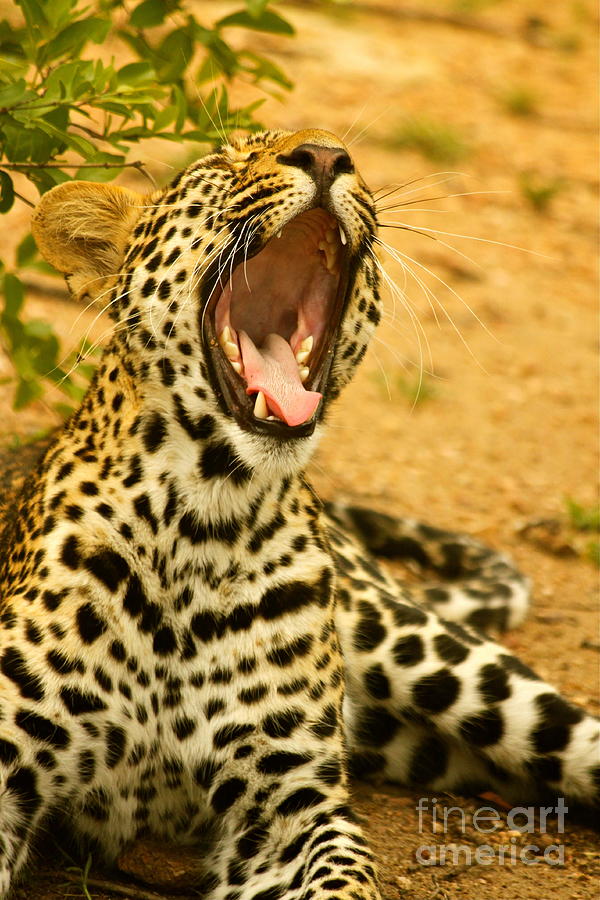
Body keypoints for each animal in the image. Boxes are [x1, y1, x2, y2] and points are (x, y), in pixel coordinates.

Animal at [0, 128, 596, 900]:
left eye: (346, 159)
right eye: (223, 163)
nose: (325, 155)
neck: (201, 518)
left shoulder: (291, 800)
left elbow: (342, 878)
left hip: (436, 656)